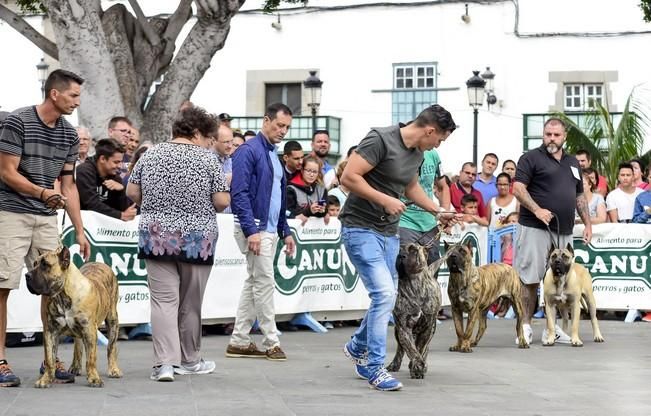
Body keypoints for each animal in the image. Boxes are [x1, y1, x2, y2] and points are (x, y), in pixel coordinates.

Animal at [25, 245, 122, 388]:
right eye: (34, 264)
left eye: (45, 265)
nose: (27, 275)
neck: (62, 295)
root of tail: (98, 263)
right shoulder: (50, 331)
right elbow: (49, 359)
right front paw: (46, 379)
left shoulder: (89, 330)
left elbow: (91, 358)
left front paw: (94, 378)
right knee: (78, 345)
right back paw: (75, 367)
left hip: (112, 320)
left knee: (111, 347)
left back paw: (114, 369)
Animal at [388, 245, 448, 378]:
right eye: (399, 249)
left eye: (413, 250)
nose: (401, 255)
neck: (414, 283)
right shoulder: (404, 327)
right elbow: (411, 349)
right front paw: (417, 366)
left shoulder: (427, 327)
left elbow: (420, 348)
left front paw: (418, 367)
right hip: (397, 331)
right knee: (400, 349)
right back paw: (394, 364)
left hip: (432, 328)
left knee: (425, 347)